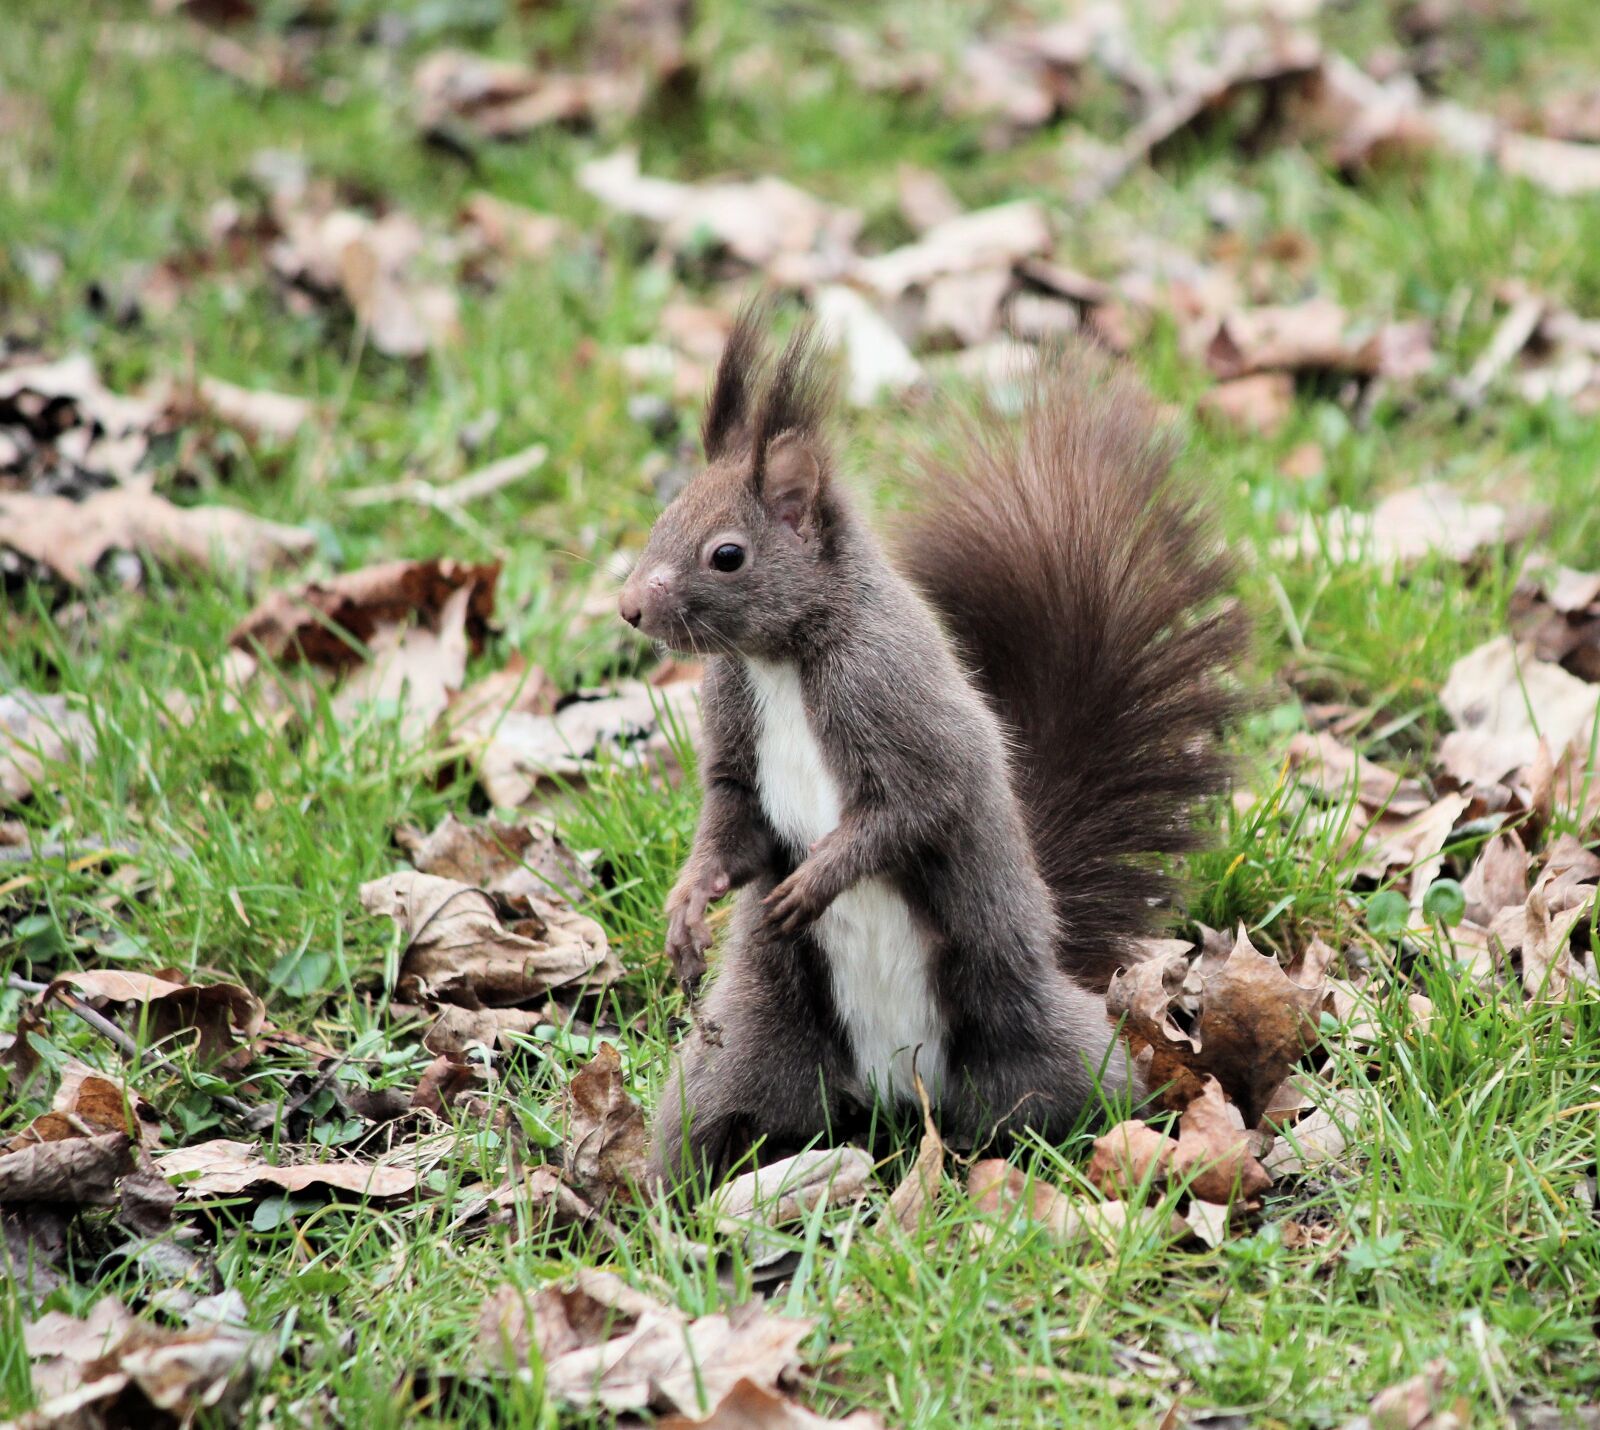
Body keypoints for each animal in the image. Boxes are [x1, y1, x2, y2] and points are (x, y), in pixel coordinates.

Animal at [618, 305, 1246, 1183]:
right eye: (662, 521)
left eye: (727, 554)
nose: (628, 608)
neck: (781, 660)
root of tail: (896, 1090)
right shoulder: (737, 742)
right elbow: (732, 824)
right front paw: (686, 907)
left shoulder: (897, 704)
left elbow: (915, 808)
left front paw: (814, 882)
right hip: (749, 1049)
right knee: (707, 1122)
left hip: (1042, 1039)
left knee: (1099, 1095)